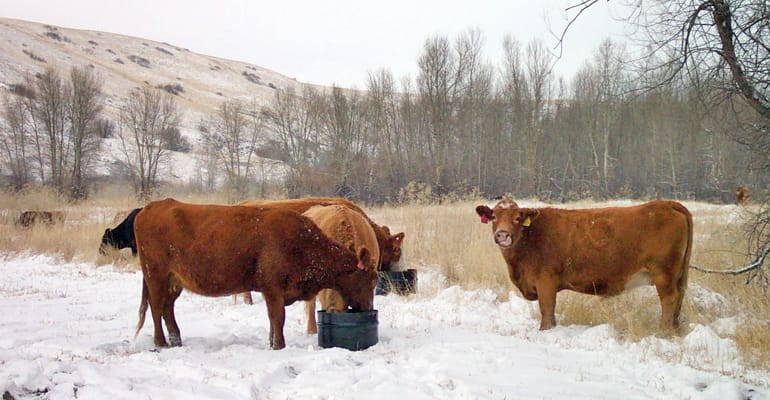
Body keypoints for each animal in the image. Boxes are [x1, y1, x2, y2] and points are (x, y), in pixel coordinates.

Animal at [475, 198, 692, 331]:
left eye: (517, 218)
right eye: (493, 217)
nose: (502, 235)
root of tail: (668, 204)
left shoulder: (546, 282)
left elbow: (547, 309)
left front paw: (545, 331)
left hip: (663, 274)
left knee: (670, 299)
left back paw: (663, 331)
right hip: (676, 275)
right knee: (680, 296)